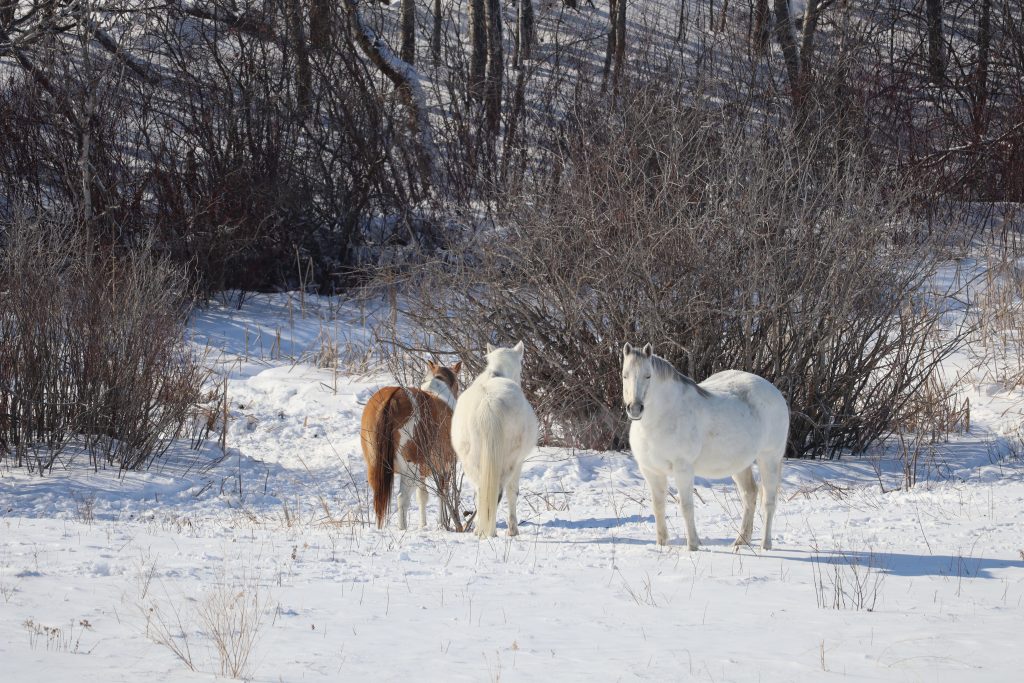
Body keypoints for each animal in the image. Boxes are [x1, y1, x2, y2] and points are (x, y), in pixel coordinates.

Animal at [356, 362, 460, 528]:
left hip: (375, 466)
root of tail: (393, 396)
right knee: (402, 498)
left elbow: (422, 496)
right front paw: (443, 523)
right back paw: (402, 528)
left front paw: (423, 526)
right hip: (411, 469)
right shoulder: (446, 467)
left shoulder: (423, 471)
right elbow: (442, 495)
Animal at [452, 342, 540, 540]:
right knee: (499, 491)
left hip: (471, 462)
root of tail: (488, 404)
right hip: (509, 461)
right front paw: (513, 530)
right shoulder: (519, 462)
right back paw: (491, 531)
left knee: (480, 492)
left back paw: (479, 529)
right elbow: (512, 492)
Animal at [618, 342, 786, 548]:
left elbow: (686, 506)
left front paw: (692, 545)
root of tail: (775, 392)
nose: (635, 409)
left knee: (768, 501)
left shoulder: (683, 469)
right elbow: (658, 506)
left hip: (769, 458)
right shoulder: (651, 471)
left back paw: (765, 545)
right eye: (625, 375)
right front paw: (662, 543)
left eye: (648, 376)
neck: (662, 417)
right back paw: (741, 540)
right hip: (740, 464)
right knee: (750, 495)